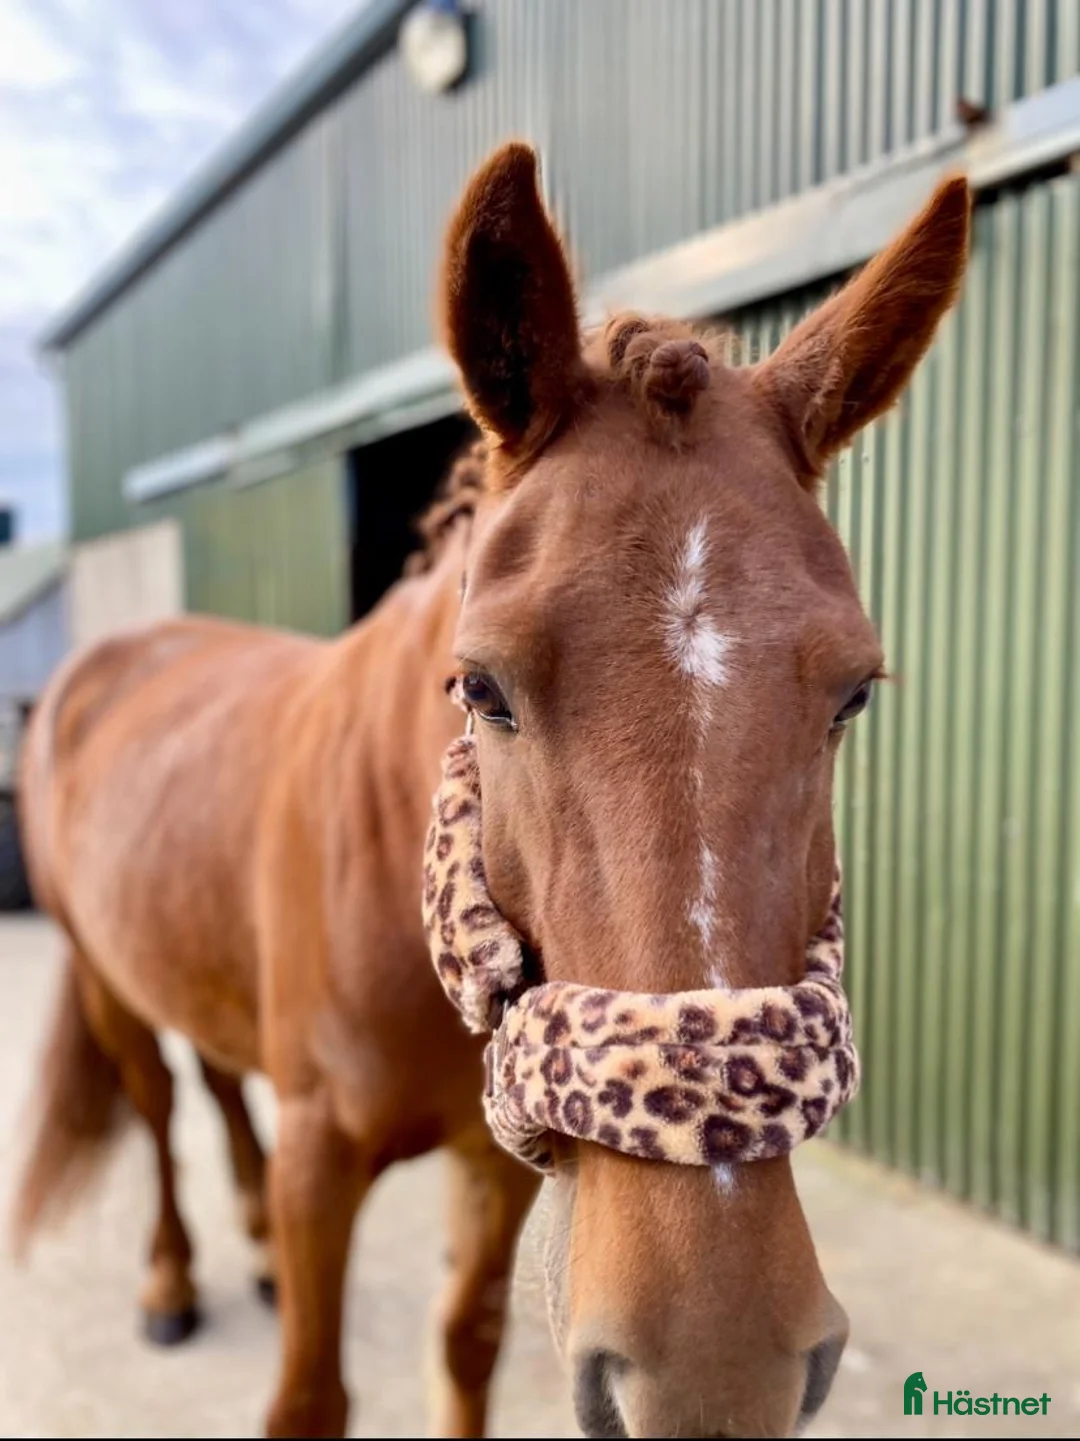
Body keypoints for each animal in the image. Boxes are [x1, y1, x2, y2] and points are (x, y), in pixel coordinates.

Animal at [12, 141, 969, 1439]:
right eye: (480, 685)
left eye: (856, 691)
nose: (719, 1371)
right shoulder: (320, 1158)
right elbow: (310, 1395)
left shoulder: (499, 1158)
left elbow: (464, 1341)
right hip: (104, 972)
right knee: (159, 1108)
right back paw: (172, 1282)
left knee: (211, 1073)